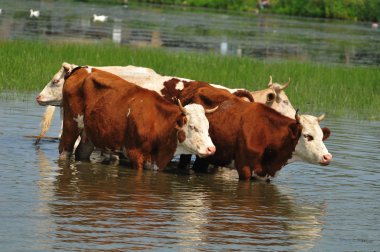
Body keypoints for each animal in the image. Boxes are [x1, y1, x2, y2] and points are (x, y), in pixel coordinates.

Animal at [58, 66, 217, 169]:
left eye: (208, 127)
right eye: (192, 126)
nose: (211, 149)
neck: (158, 121)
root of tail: (80, 69)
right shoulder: (135, 154)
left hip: (89, 134)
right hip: (70, 125)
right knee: (64, 151)